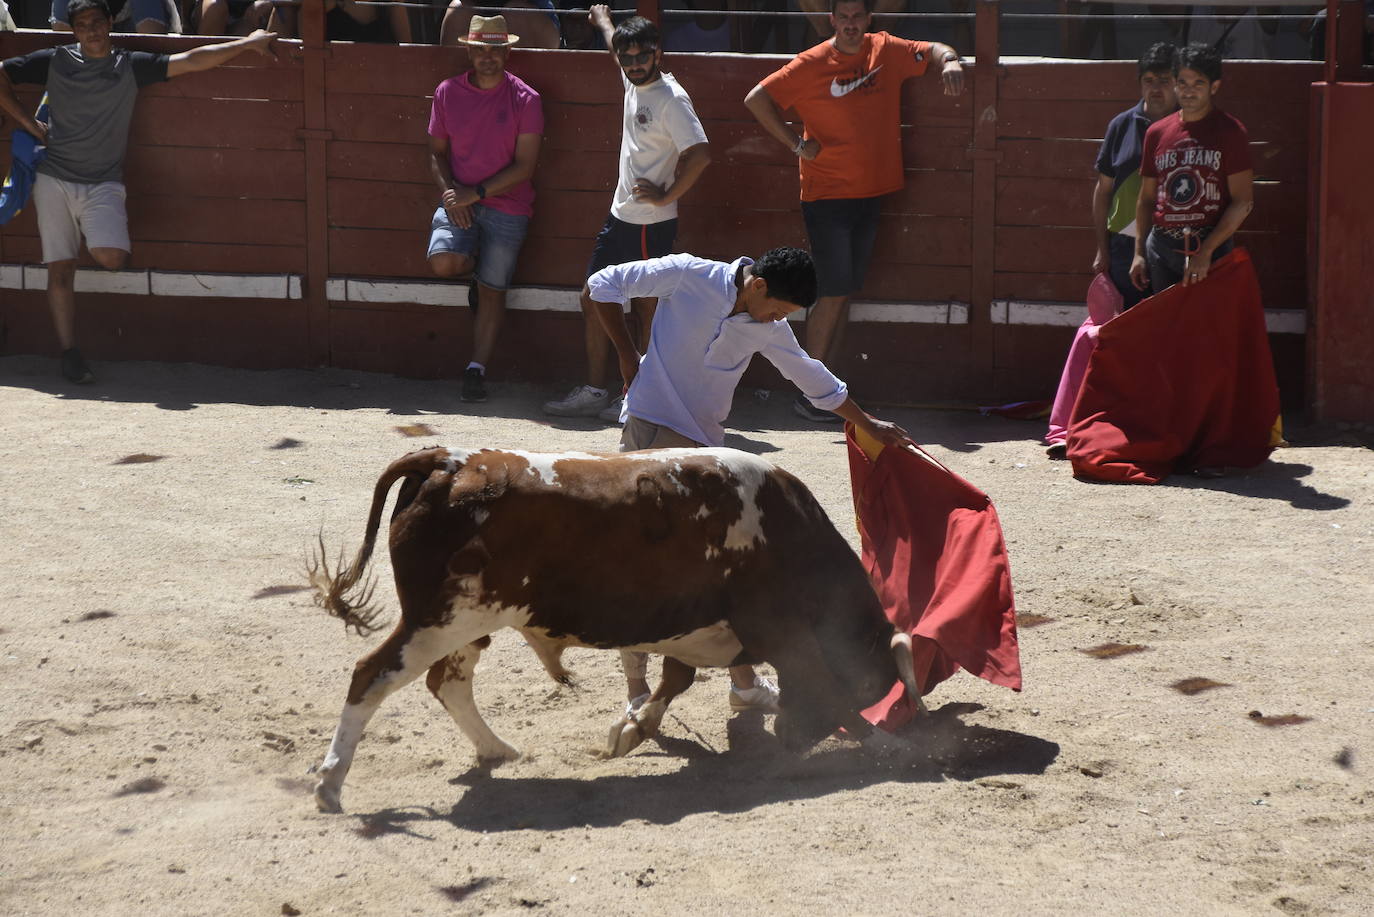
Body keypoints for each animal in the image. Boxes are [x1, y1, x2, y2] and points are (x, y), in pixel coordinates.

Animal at [306, 448, 917, 813]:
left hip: (467, 623)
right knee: (372, 675)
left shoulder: (694, 626)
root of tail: (451, 461)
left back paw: (498, 750)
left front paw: (632, 730)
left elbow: (675, 679)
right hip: (439, 620)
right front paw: (888, 744)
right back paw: (331, 783)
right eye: (872, 684)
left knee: (448, 682)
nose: (792, 740)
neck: (787, 530)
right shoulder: (782, 630)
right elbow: (832, 692)